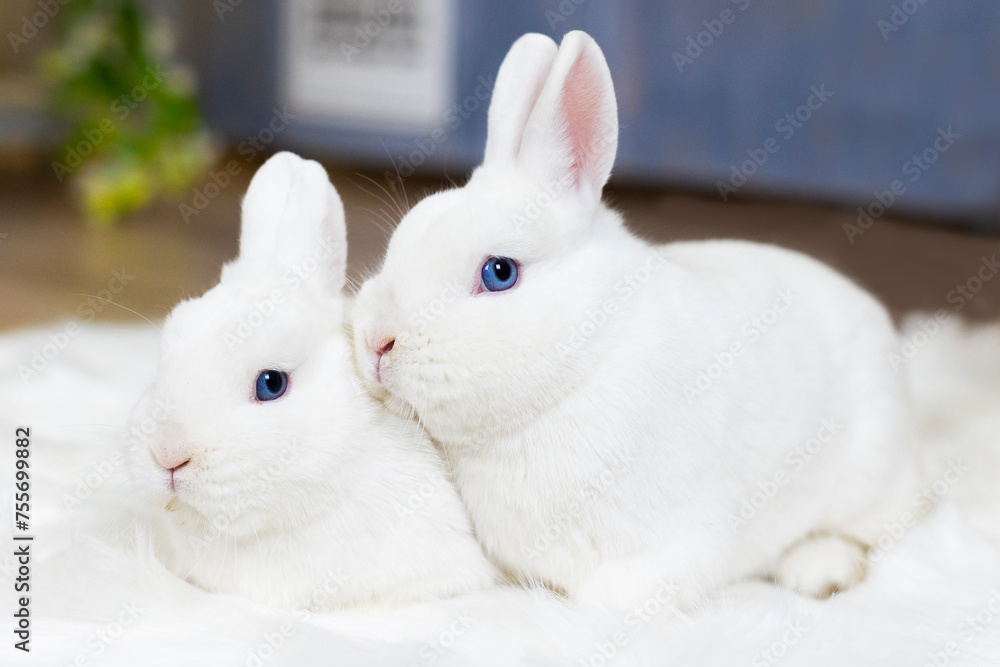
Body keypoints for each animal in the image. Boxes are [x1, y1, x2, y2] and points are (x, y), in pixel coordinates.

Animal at [350, 31, 925, 607]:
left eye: (499, 273)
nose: (378, 341)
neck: (588, 359)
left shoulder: (665, 550)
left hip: (867, 477)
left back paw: (824, 571)